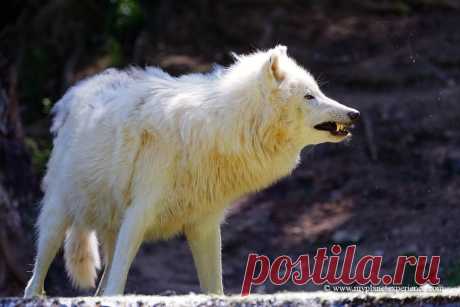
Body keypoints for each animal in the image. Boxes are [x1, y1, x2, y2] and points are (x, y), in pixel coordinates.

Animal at [23, 44, 360, 298]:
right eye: (309, 96)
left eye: (318, 91)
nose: (355, 113)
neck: (219, 129)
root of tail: (79, 89)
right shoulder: (140, 214)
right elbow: (119, 283)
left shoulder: (205, 225)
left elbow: (215, 287)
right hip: (59, 216)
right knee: (36, 277)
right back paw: (34, 294)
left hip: (109, 227)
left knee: (99, 287)